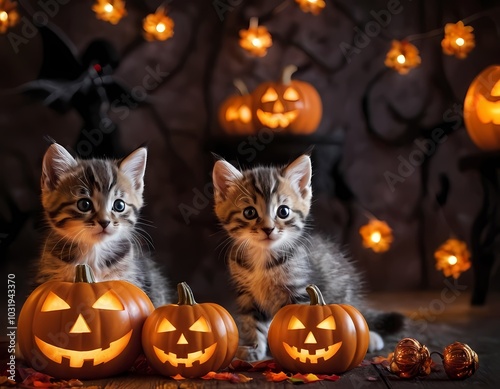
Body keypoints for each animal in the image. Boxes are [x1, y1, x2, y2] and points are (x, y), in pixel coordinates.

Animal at [213, 153, 404, 360]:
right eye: (249, 212)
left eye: (283, 211)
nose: (268, 229)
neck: (262, 259)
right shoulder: (247, 294)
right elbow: (251, 322)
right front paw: (253, 347)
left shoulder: (298, 289)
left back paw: (370, 337)